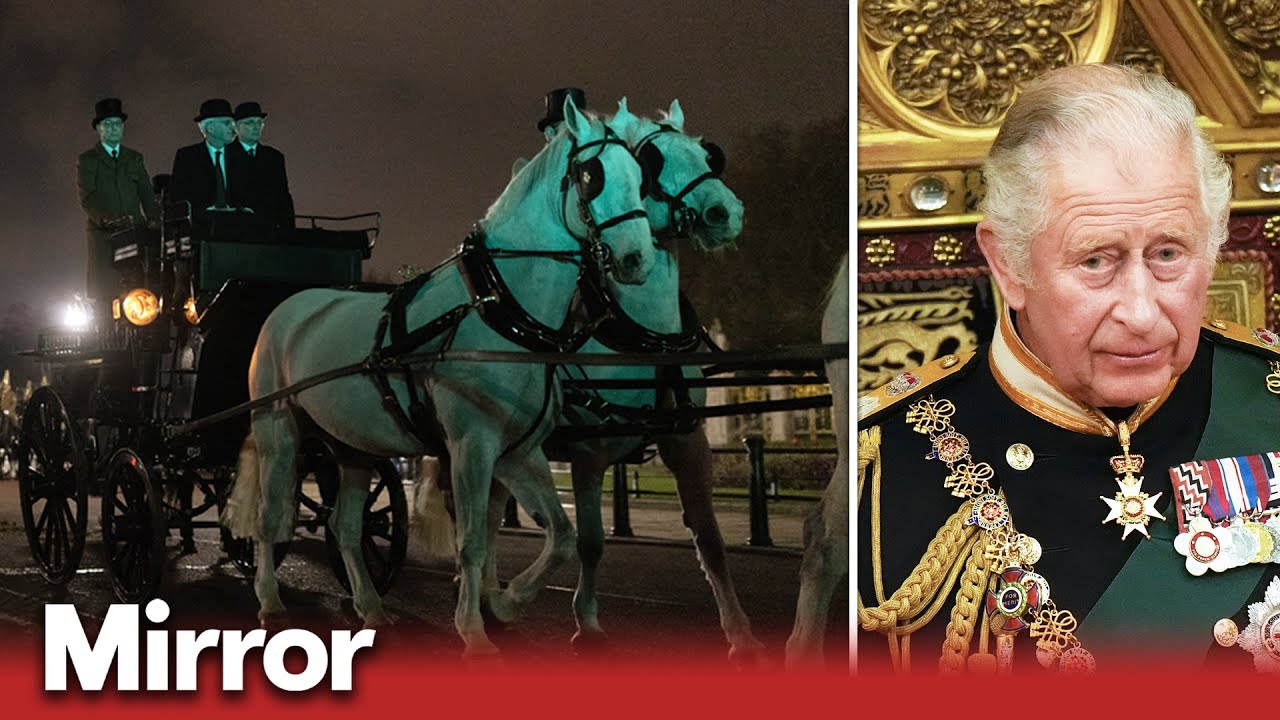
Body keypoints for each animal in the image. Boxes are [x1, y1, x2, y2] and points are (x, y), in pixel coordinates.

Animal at [221, 96, 655, 655]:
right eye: (590, 174)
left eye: (641, 177)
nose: (637, 260)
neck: (496, 311)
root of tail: (289, 307)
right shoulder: (472, 444)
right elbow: (470, 541)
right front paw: (474, 630)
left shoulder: (518, 451)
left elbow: (560, 534)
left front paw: (507, 601)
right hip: (279, 430)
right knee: (272, 518)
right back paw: (270, 601)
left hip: (352, 446)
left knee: (345, 527)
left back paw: (370, 607)